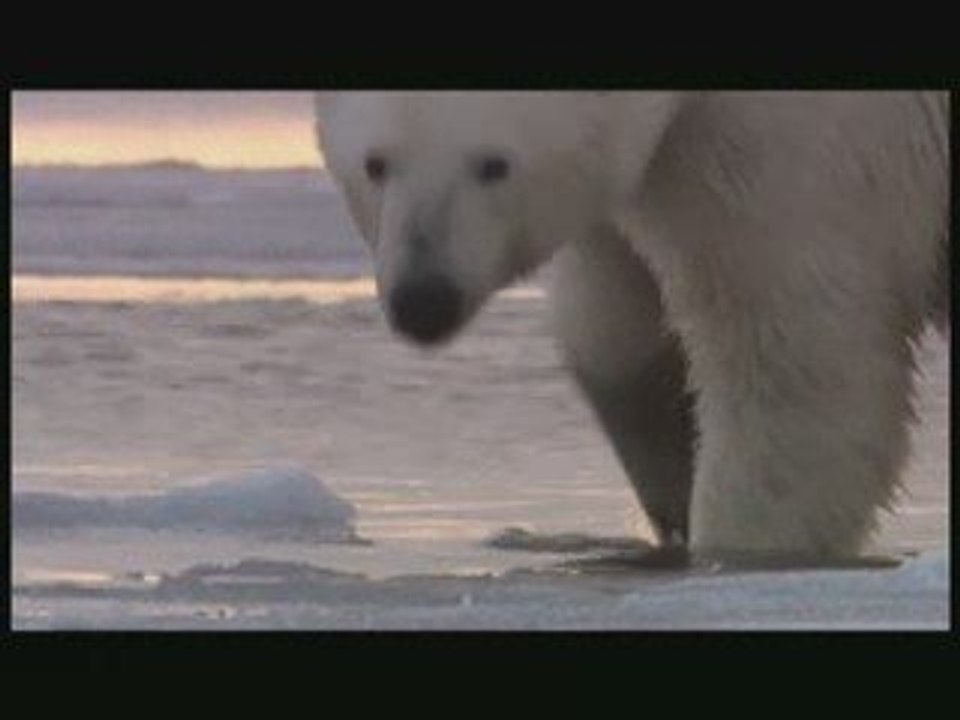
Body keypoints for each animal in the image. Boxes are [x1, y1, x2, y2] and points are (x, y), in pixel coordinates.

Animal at [315, 91, 949, 565]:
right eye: (376, 163)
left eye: (494, 164)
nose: (424, 301)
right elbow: (614, 331)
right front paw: (672, 485)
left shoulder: (801, 151)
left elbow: (794, 362)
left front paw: (739, 547)